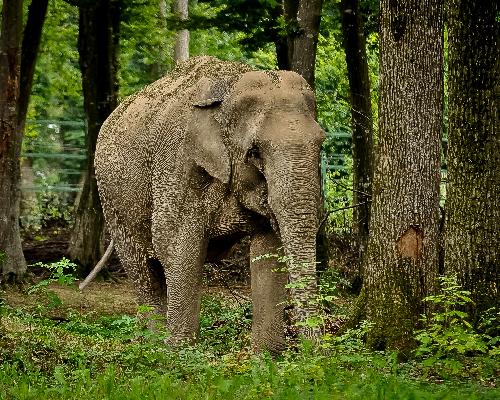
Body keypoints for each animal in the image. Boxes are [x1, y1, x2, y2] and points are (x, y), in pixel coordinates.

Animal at [94, 56, 326, 354]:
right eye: (254, 152)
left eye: (321, 143)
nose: (316, 354)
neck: (231, 84)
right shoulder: (178, 162)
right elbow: (175, 243)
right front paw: (180, 353)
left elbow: (268, 248)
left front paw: (266, 357)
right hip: (114, 201)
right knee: (143, 270)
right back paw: (152, 346)